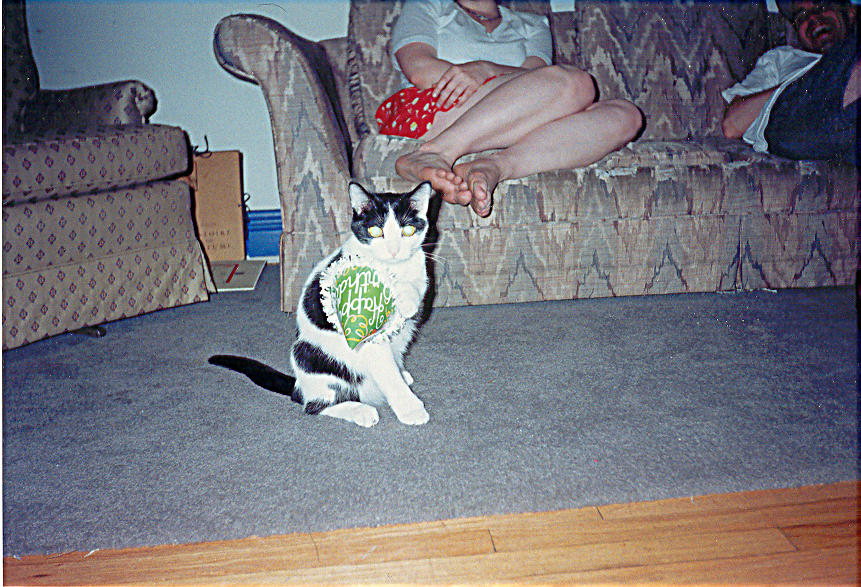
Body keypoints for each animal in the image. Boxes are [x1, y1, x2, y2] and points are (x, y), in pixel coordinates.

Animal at [209, 181, 434, 428]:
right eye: (376, 231)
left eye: (408, 231)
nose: (393, 251)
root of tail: (299, 385)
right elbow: (389, 377)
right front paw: (411, 410)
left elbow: (418, 285)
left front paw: (407, 298)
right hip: (308, 355)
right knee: (313, 405)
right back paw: (361, 411)